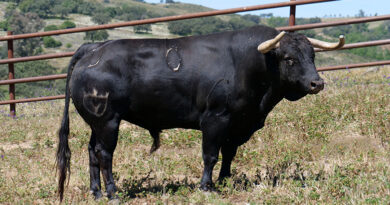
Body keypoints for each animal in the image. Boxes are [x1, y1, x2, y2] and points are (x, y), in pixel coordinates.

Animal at [57, 25, 336, 200]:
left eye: (312, 56)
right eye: (289, 58)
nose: (317, 83)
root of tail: (94, 48)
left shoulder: (236, 124)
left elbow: (229, 155)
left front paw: (224, 180)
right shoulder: (215, 119)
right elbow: (210, 155)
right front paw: (207, 187)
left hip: (97, 122)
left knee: (92, 152)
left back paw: (96, 192)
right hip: (108, 121)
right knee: (104, 154)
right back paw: (113, 193)